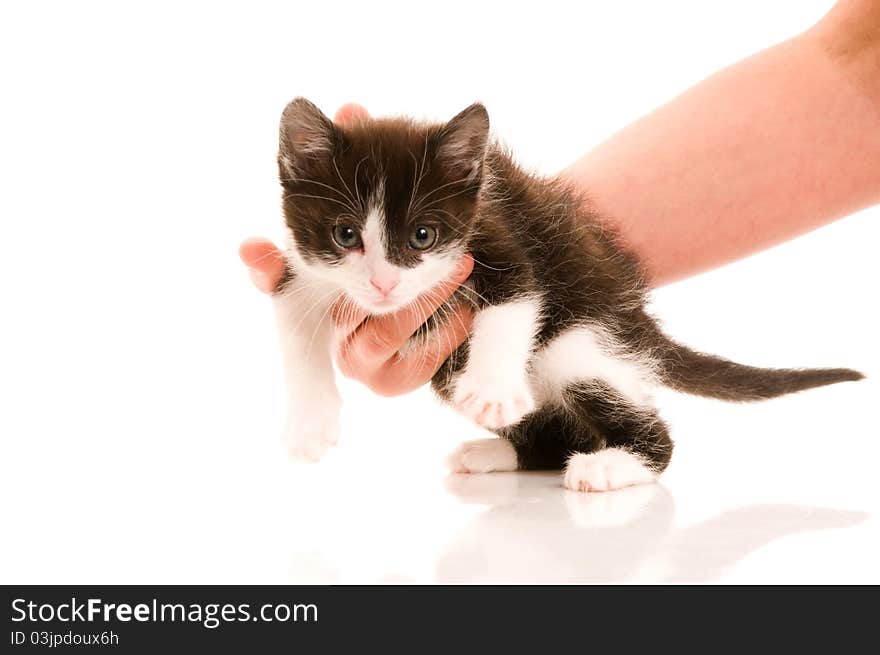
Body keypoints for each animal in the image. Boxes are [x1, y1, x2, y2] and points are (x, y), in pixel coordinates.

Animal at [272, 98, 864, 492]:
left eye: (423, 236)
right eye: (345, 234)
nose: (383, 284)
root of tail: (637, 316)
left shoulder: (500, 235)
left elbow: (516, 298)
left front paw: (491, 390)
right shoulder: (304, 269)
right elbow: (294, 324)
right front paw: (310, 422)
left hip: (581, 339)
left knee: (635, 416)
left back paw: (613, 464)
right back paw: (501, 451)